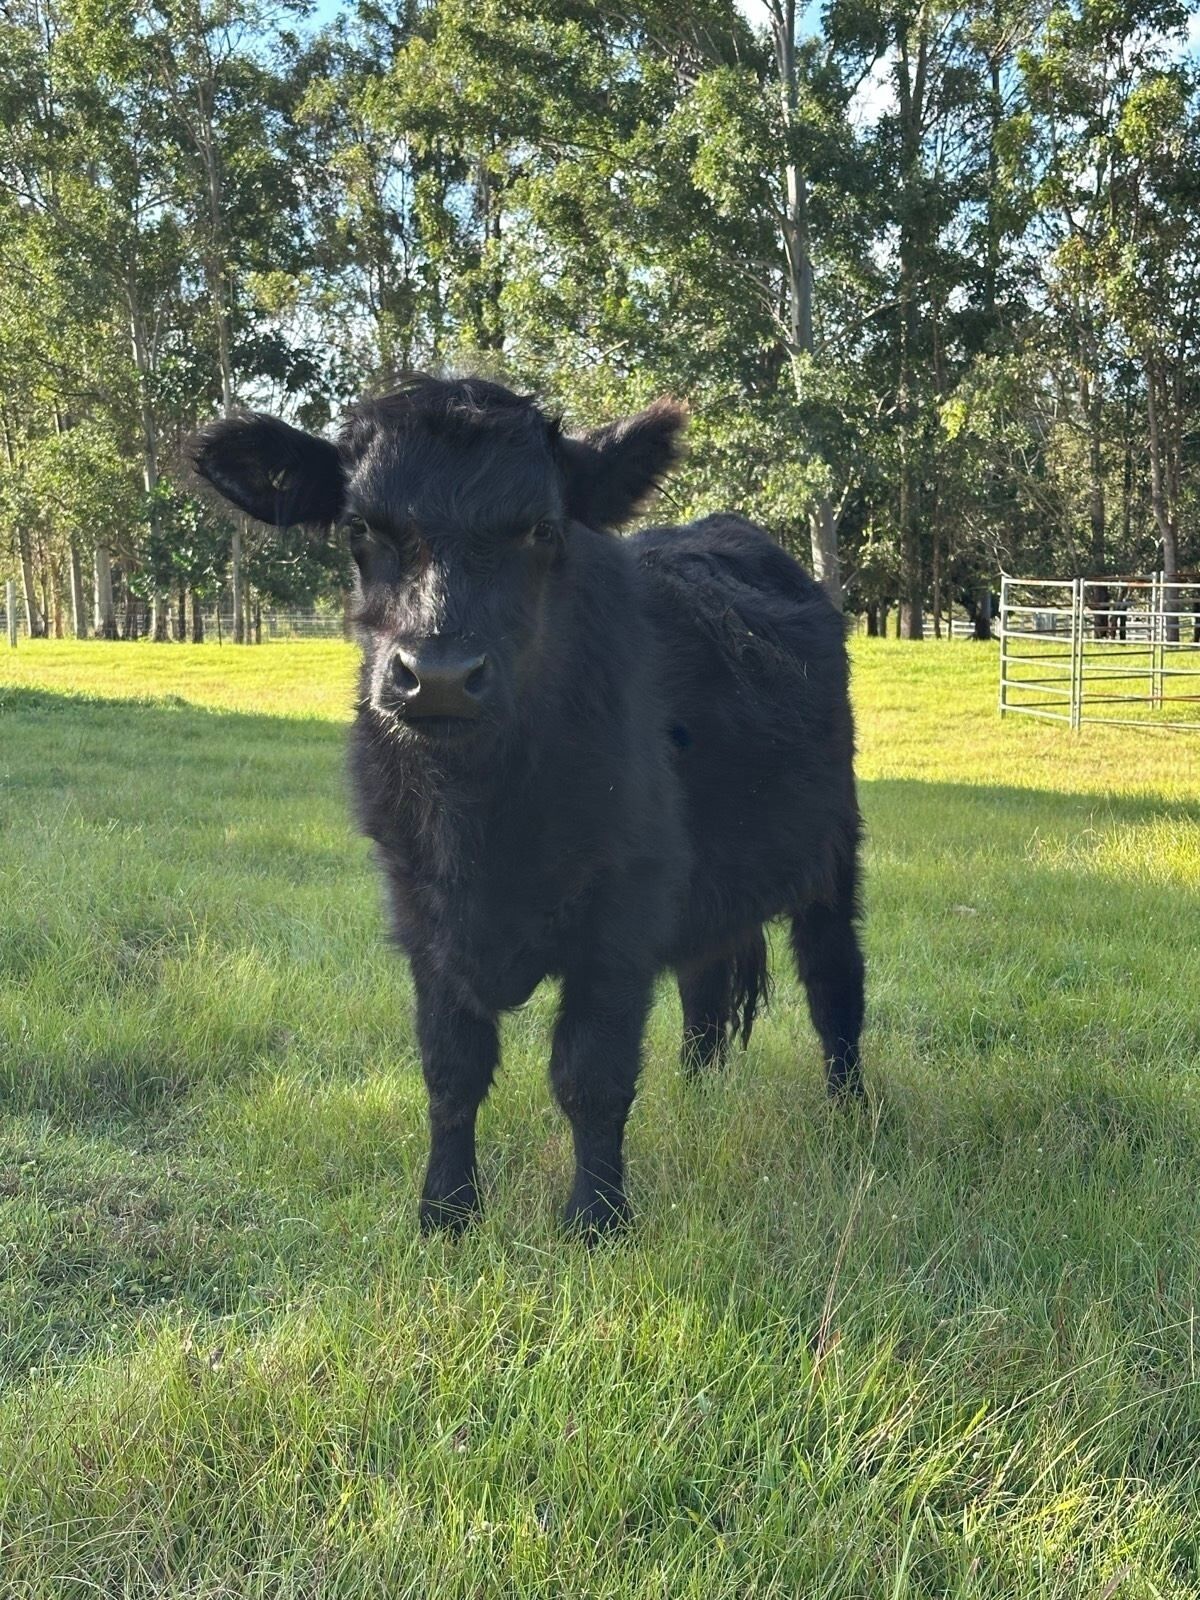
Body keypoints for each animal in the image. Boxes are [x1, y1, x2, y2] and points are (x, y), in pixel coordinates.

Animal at [193, 376, 865, 1239]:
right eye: (359, 527)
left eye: (542, 528)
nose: (439, 677)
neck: (479, 817)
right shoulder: (421, 914)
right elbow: (450, 1070)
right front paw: (445, 1211)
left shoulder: (621, 916)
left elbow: (590, 1074)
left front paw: (596, 1219)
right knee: (705, 990)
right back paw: (698, 1103)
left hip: (834, 849)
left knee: (834, 984)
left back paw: (851, 1121)